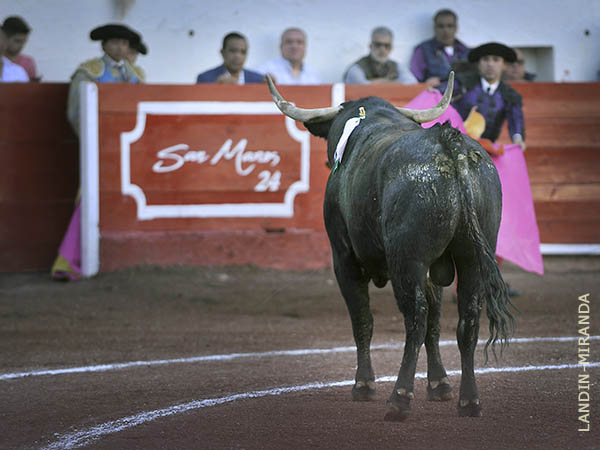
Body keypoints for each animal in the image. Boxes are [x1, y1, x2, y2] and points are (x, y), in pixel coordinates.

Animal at [264, 74, 512, 422]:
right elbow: (436, 324)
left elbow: (363, 320)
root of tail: (448, 144)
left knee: (415, 319)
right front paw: (439, 385)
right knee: (467, 321)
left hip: (406, 260)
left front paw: (364, 385)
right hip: (473, 257)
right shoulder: (434, 269)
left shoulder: (344, 259)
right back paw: (469, 401)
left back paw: (399, 398)